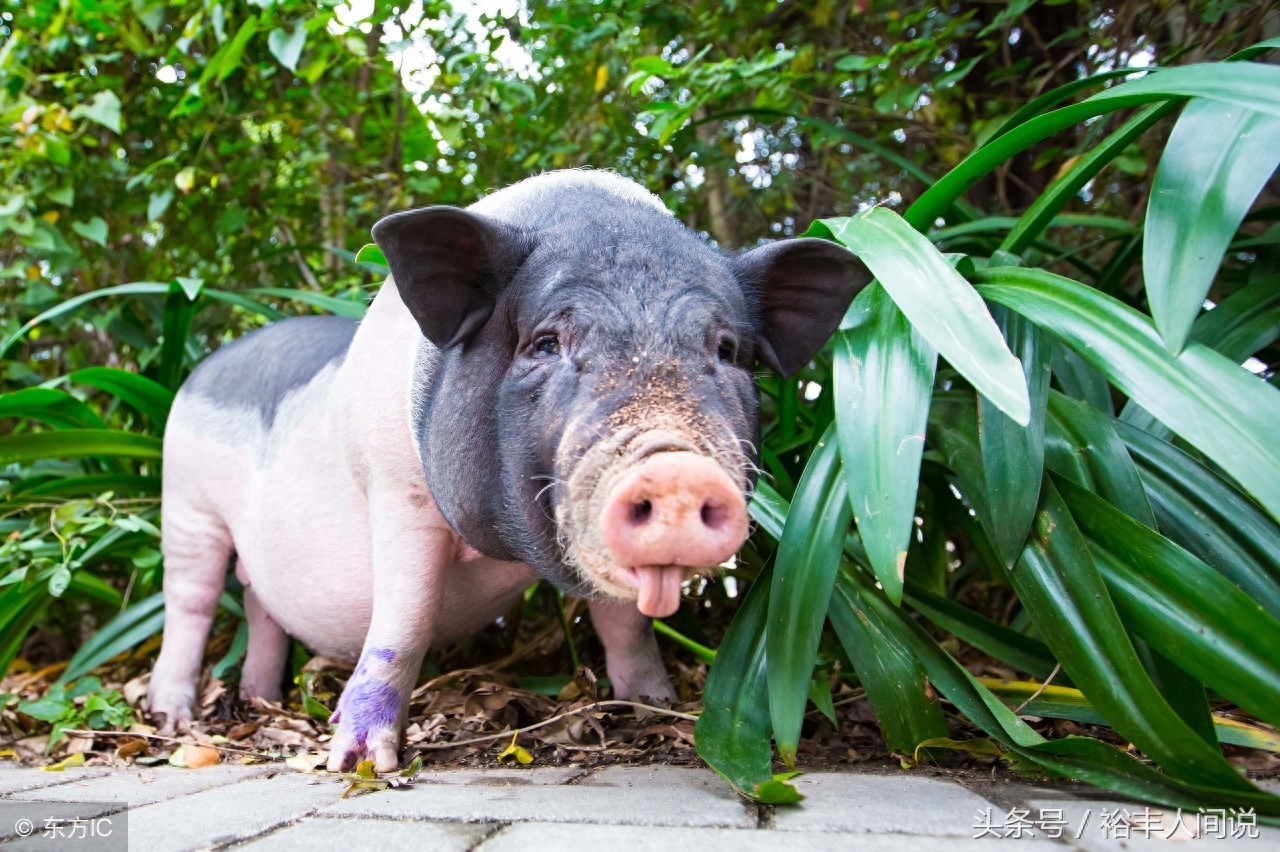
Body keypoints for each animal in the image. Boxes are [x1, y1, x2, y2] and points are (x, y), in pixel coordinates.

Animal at [147, 167, 870, 767]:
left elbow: (624, 624)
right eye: (545, 342)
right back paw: (174, 719)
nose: (675, 469)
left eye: (725, 349)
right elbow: (406, 617)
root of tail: (206, 368)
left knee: (259, 605)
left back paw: (260, 701)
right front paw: (359, 764)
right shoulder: (397, 490)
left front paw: (656, 706)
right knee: (192, 602)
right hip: (183, 501)